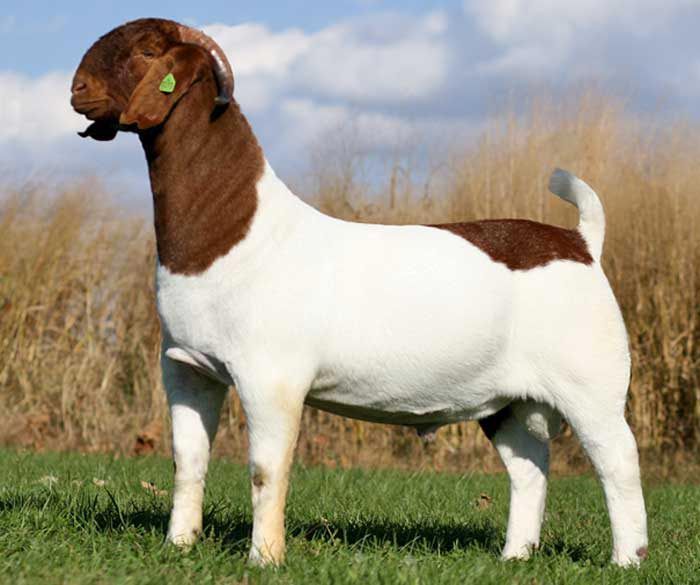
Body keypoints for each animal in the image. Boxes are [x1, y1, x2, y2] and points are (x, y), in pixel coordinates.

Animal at [71, 18, 644, 564]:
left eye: (147, 51)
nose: (77, 90)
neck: (235, 230)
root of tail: (581, 241)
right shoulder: (186, 369)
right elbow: (188, 462)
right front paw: (179, 546)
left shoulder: (270, 377)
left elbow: (265, 470)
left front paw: (264, 558)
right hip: (509, 401)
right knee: (529, 466)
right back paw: (515, 557)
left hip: (591, 384)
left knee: (619, 462)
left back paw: (627, 560)